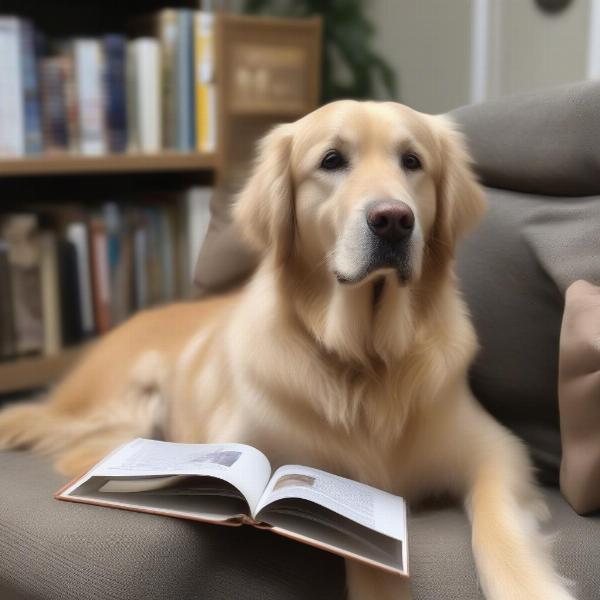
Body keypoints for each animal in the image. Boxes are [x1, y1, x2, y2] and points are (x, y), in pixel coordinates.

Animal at [0, 101, 576, 596]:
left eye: (413, 162)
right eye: (331, 161)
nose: (393, 219)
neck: (364, 360)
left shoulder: (497, 451)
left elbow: (499, 526)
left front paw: (530, 587)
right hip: (117, 406)